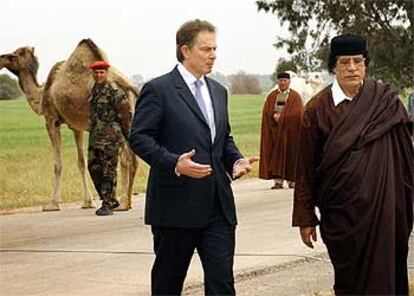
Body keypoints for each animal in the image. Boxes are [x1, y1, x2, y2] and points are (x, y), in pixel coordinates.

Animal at [0, 38, 139, 210]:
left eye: (13, 55)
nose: (1, 58)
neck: (42, 94)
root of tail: (130, 86)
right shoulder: (76, 127)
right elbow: (81, 162)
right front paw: (88, 202)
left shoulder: (51, 120)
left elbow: (57, 164)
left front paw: (52, 204)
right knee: (133, 158)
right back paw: (127, 202)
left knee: (125, 158)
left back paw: (123, 203)